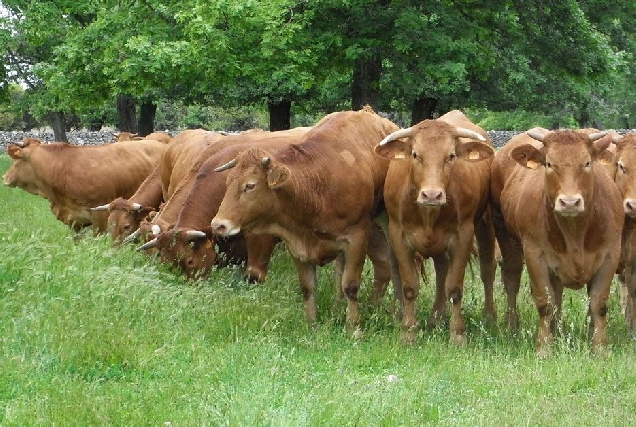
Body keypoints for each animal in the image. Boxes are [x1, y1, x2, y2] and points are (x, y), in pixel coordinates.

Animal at [209, 108, 400, 334]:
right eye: (228, 182)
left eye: (250, 185)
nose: (218, 224)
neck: (314, 189)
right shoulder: (297, 245)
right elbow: (308, 288)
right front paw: (311, 326)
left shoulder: (357, 237)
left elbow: (351, 285)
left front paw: (353, 327)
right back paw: (346, 307)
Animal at [372, 109, 496, 344]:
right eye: (415, 155)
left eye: (451, 156)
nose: (431, 195)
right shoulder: (397, 235)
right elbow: (409, 287)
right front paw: (408, 331)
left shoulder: (464, 235)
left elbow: (454, 287)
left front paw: (457, 334)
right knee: (441, 268)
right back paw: (436, 317)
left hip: (484, 224)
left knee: (486, 270)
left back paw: (485, 317)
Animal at [492, 129, 620, 356]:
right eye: (549, 163)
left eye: (587, 163)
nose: (569, 202)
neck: (575, 232)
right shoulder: (535, 254)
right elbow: (545, 302)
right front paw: (544, 346)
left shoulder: (610, 255)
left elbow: (598, 303)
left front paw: (600, 347)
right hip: (504, 235)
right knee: (512, 280)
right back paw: (512, 326)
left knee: (558, 290)